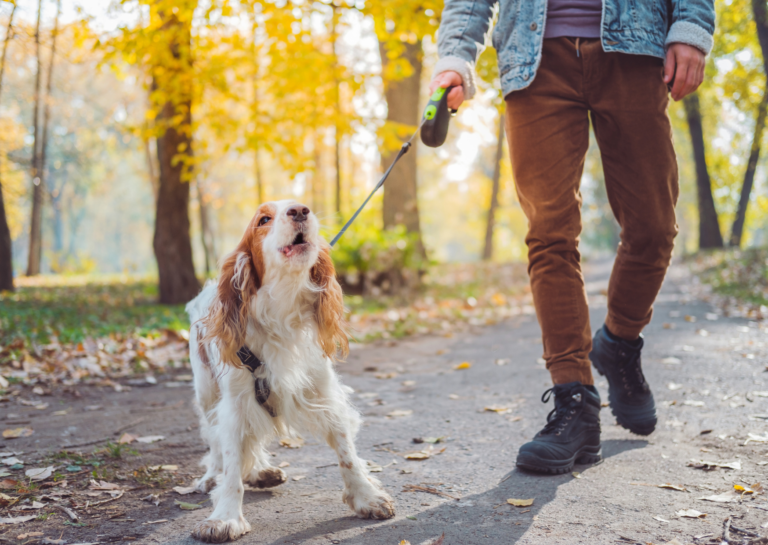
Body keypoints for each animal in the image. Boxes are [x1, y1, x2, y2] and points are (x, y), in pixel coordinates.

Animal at [183, 199, 392, 540]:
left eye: (301, 205)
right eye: (263, 219)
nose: (299, 210)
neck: (282, 310)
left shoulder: (324, 393)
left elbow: (346, 453)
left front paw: (366, 495)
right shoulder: (235, 404)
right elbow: (231, 462)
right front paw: (225, 517)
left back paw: (261, 471)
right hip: (207, 393)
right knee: (215, 442)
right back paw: (214, 476)